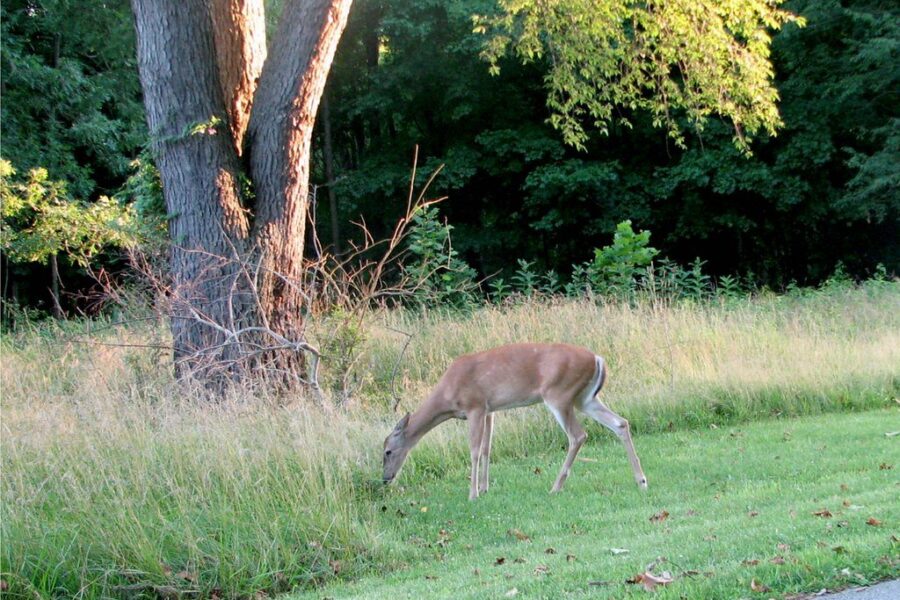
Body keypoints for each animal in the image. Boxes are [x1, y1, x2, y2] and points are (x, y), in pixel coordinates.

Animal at [382, 342, 648, 500]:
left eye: (387, 451)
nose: (385, 478)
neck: (448, 395)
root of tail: (597, 358)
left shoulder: (475, 405)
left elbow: (474, 450)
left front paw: (473, 494)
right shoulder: (490, 410)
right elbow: (487, 449)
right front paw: (485, 488)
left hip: (559, 394)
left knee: (578, 435)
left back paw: (555, 487)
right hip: (585, 398)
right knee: (620, 423)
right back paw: (641, 480)